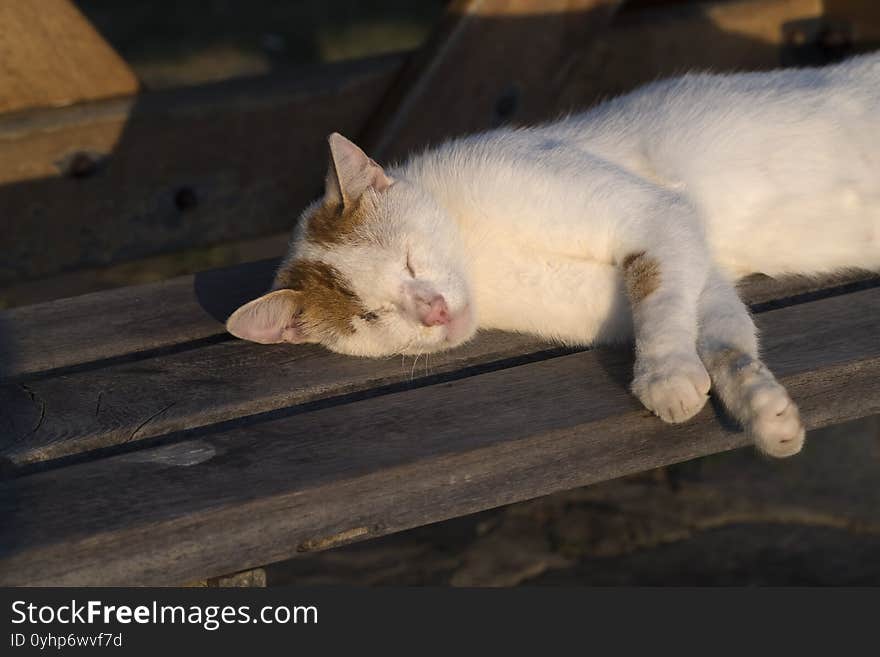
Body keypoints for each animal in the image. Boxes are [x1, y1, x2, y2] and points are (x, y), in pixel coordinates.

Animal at [225, 53, 880, 458]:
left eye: (409, 260)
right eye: (372, 317)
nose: (433, 310)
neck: (483, 259)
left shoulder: (658, 214)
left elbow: (657, 291)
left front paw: (663, 373)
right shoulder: (698, 266)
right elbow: (723, 338)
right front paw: (765, 413)